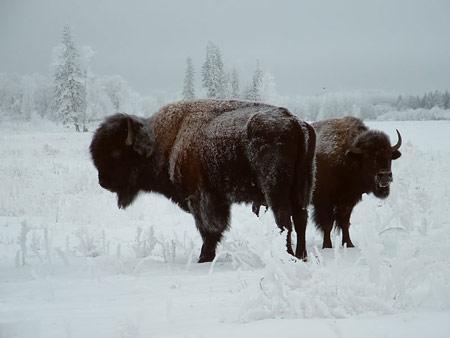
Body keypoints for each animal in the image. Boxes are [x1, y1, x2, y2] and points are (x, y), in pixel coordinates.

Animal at [89, 99, 316, 262]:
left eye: (116, 153)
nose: (103, 182)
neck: (167, 141)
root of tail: (295, 122)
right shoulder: (219, 200)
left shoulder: (201, 199)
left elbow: (209, 230)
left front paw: (204, 258)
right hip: (302, 187)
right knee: (300, 219)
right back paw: (301, 256)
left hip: (275, 190)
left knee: (284, 222)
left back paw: (288, 255)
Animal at [312, 117, 402, 248]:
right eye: (369, 157)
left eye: (389, 156)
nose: (385, 176)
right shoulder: (323, 202)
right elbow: (327, 224)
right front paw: (327, 246)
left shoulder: (348, 201)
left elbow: (345, 223)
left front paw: (349, 244)